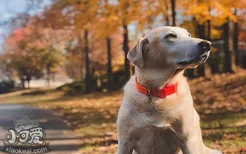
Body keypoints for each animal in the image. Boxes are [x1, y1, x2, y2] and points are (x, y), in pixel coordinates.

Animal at [116, 26, 222, 154]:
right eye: (171, 36)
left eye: (189, 35)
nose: (208, 44)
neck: (156, 91)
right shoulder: (125, 141)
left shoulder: (187, 140)